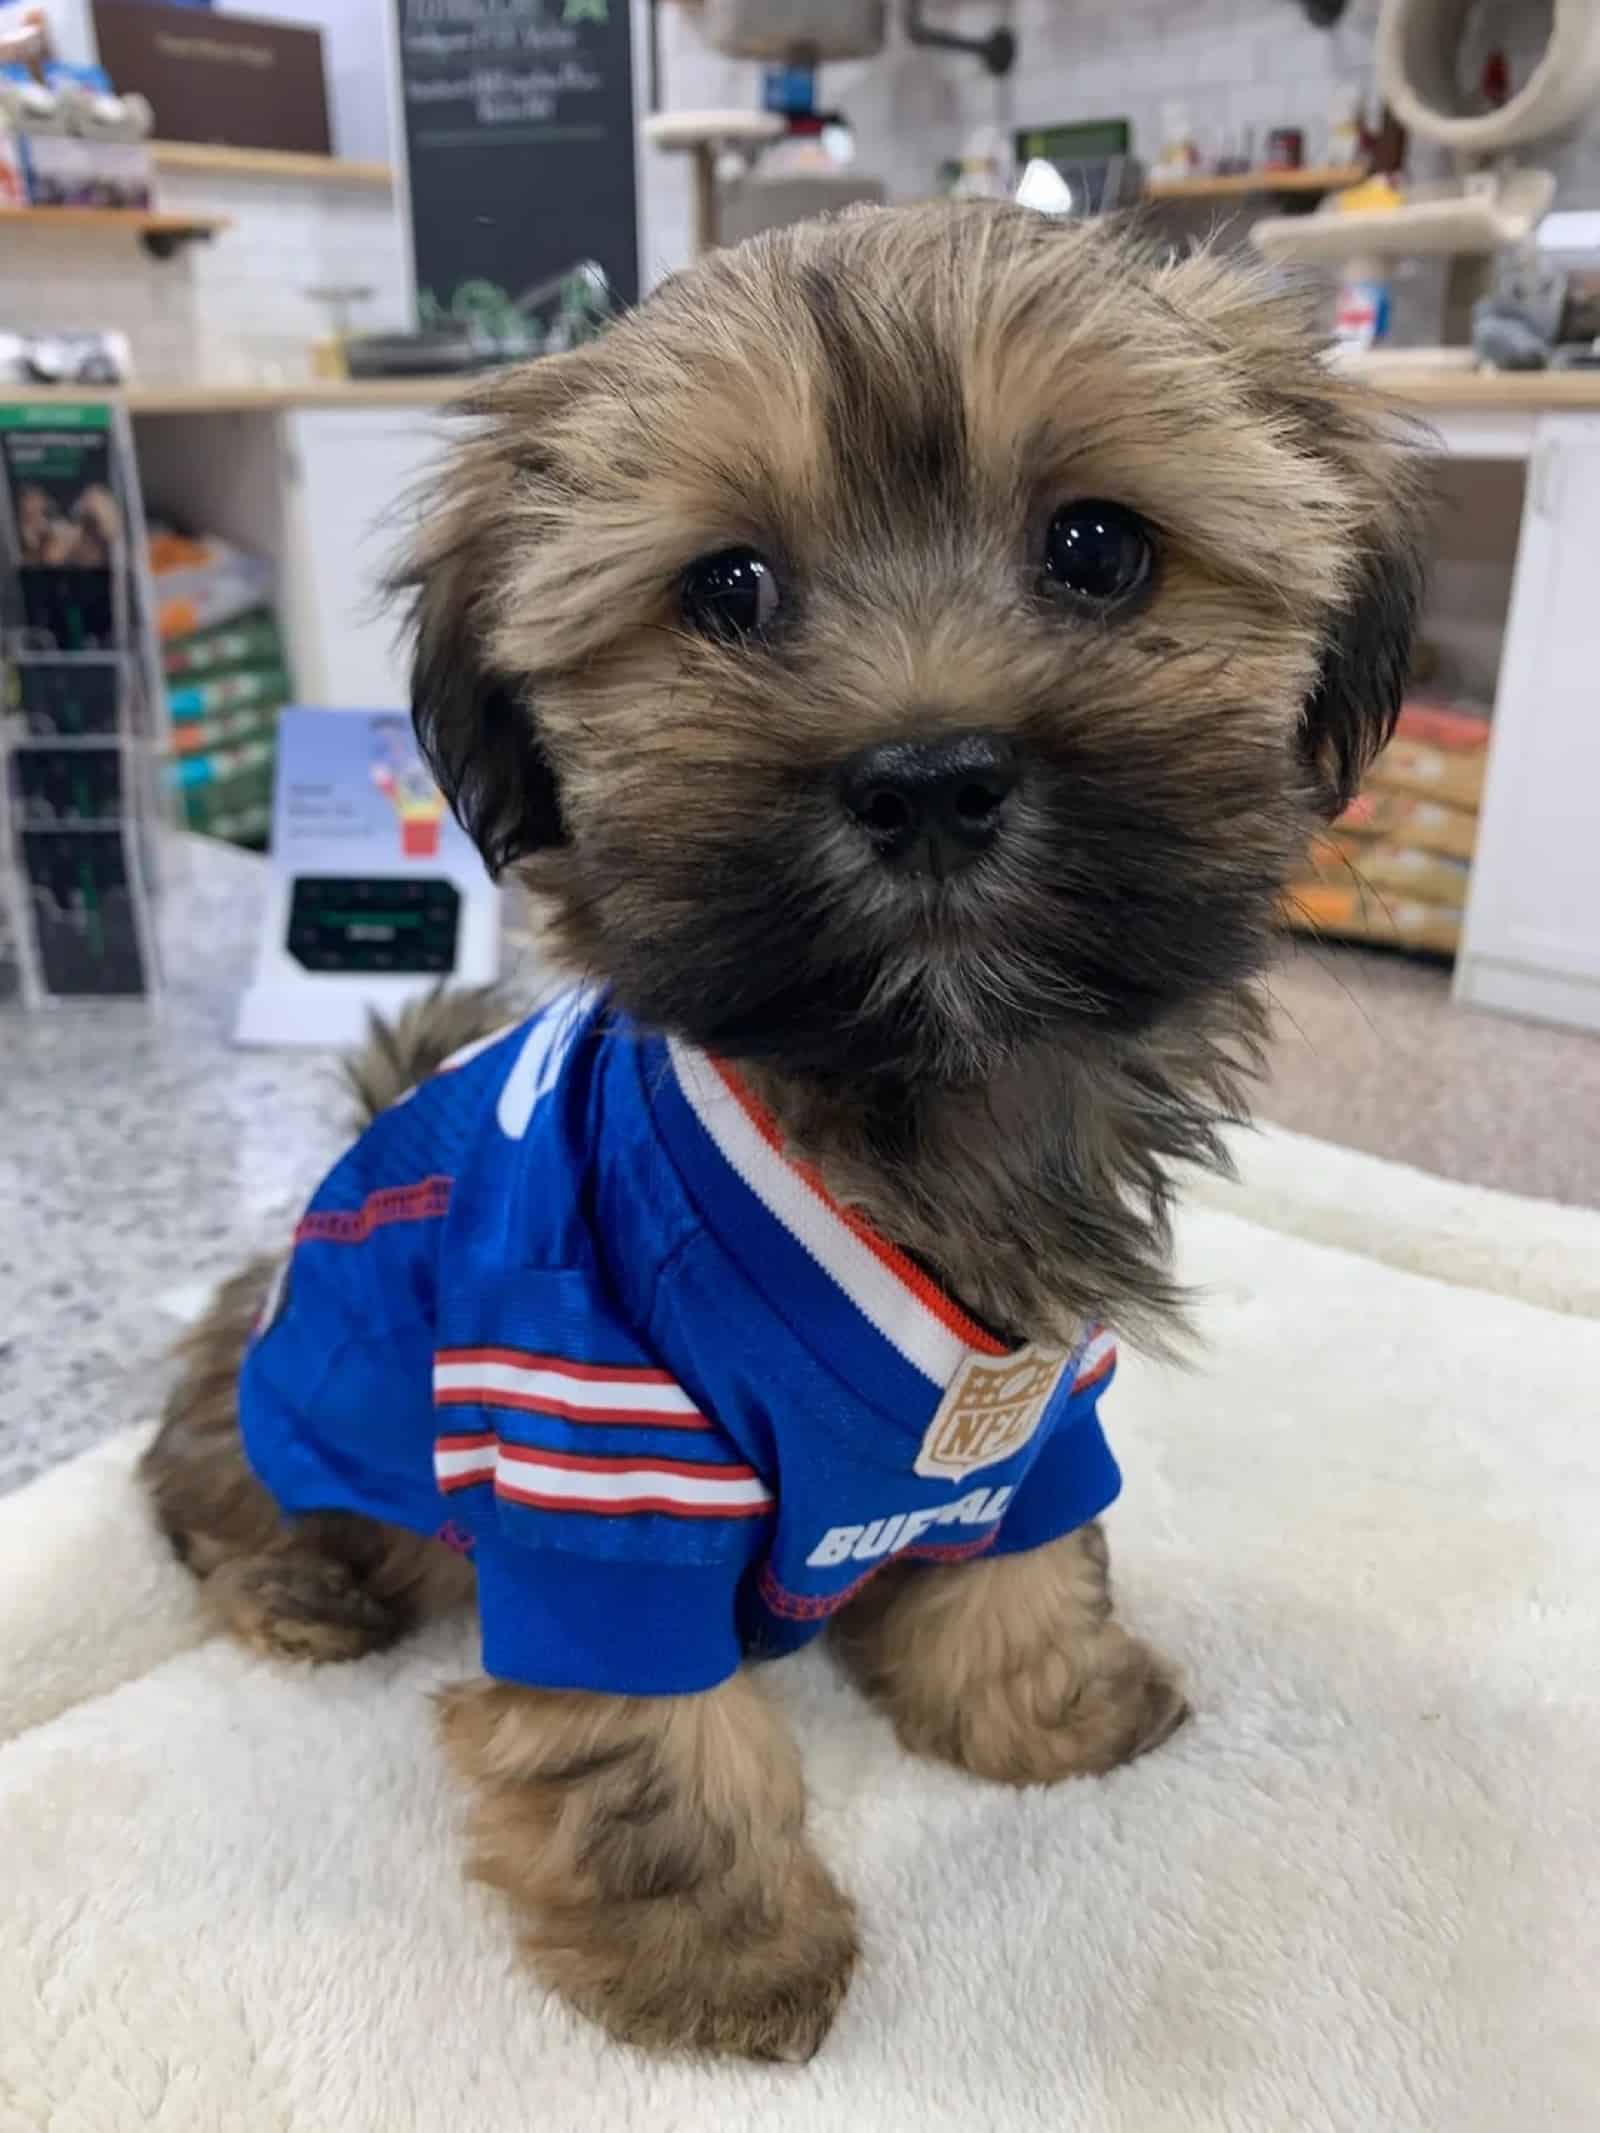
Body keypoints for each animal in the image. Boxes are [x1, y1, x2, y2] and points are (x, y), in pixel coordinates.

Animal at [144, 203, 1425, 2064]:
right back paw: (298, 1589)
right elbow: (649, 1735)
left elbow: (1028, 1565)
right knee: (217, 1479)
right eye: (729, 589)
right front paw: (721, 1952)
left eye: (1098, 549)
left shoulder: (1039, 1414)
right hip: (314, 1379)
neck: (900, 1112)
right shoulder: (596, 1452)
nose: (930, 776)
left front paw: (1047, 1710)